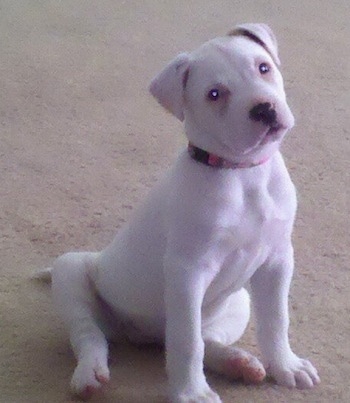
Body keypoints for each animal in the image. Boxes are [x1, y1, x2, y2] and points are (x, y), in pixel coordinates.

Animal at [41, 23, 320, 402]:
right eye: (214, 94)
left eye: (263, 67)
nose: (264, 109)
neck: (242, 173)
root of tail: (143, 336)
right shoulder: (188, 271)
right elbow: (187, 342)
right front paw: (192, 393)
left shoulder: (276, 260)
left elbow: (276, 320)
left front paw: (286, 366)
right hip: (71, 272)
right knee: (90, 335)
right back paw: (90, 374)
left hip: (239, 301)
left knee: (208, 338)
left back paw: (238, 362)